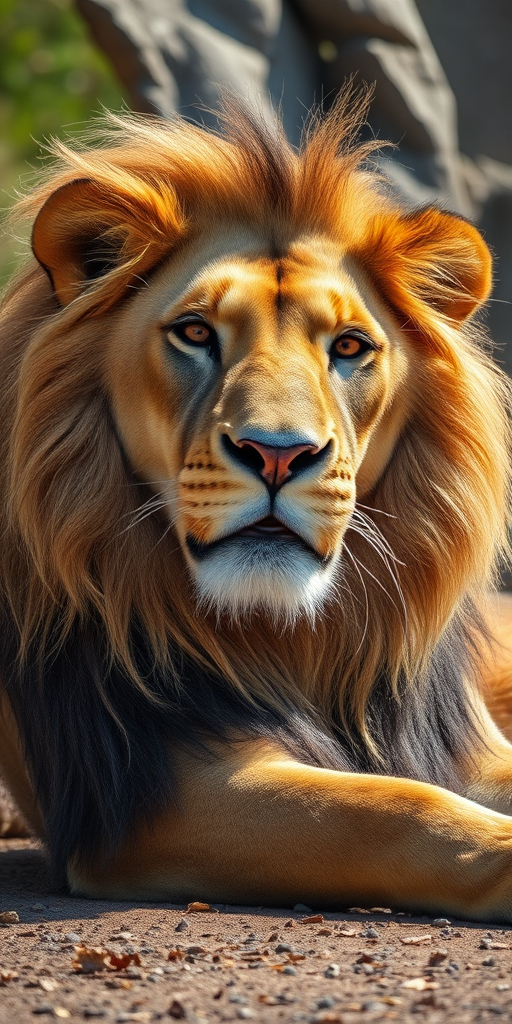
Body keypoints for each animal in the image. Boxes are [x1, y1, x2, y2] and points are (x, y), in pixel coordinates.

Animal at [2, 89, 512, 921]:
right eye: (194, 332)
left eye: (349, 347)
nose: (278, 453)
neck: (292, 640)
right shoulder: (161, 797)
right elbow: (395, 810)